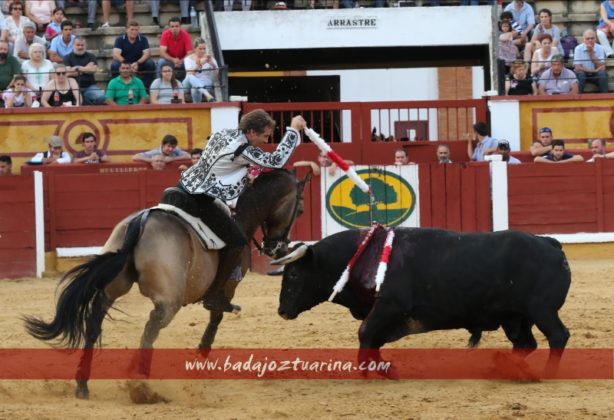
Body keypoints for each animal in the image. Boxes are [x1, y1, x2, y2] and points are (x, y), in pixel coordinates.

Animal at [24, 169, 312, 398]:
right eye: (299, 210)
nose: (277, 247)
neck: (241, 215)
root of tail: (140, 223)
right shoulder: (227, 286)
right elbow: (216, 314)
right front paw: (202, 353)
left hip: (112, 288)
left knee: (95, 322)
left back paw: (83, 384)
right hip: (169, 302)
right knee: (150, 328)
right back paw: (140, 385)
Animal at [274, 226, 572, 374]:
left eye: (294, 274)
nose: (282, 311)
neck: (366, 255)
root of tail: (550, 243)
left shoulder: (389, 306)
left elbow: (365, 333)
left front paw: (373, 370)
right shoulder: (384, 313)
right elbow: (372, 339)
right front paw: (384, 368)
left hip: (542, 310)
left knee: (558, 336)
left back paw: (547, 373)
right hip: (516, 317)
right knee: (526, 343)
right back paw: (506, 367)